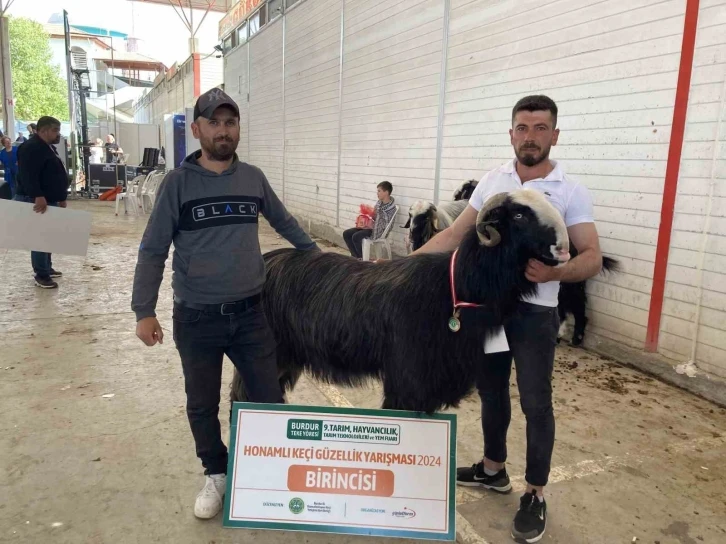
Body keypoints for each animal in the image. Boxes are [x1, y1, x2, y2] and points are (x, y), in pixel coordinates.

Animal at [230, 190, 572, 412]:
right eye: (519, 215)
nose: (564, 250)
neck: (456, 286)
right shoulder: (408, 379)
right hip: (267, 354)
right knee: (243, 395)